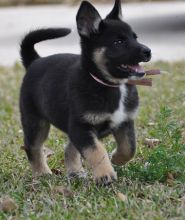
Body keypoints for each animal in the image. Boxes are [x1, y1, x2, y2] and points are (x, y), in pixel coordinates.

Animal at [19, 0, 151, 186]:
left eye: (135, 37)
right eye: (118, 42)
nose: (148, 51)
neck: (108, 84)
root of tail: (34, 61)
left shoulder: (124, 122)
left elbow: (129, 148)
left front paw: (116, 158)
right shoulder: (81, 127)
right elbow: (96, 151)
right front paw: (105, 175)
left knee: (68, 147)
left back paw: (75, 172)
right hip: (35, 122)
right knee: (33, 147)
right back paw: (42, 173)